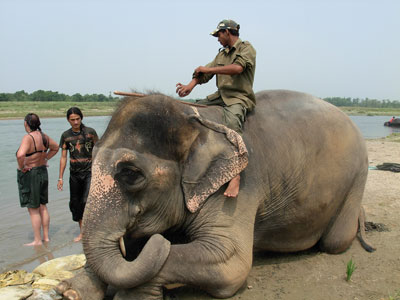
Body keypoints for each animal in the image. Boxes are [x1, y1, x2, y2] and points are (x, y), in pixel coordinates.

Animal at [57, 89, 376, 300]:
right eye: (91, 160)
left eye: (131, 173)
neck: (194, 119)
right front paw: (70, 290)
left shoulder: (237, 186)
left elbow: (230, 262)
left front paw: (133, 295)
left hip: (358, 175)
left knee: (335, 242)